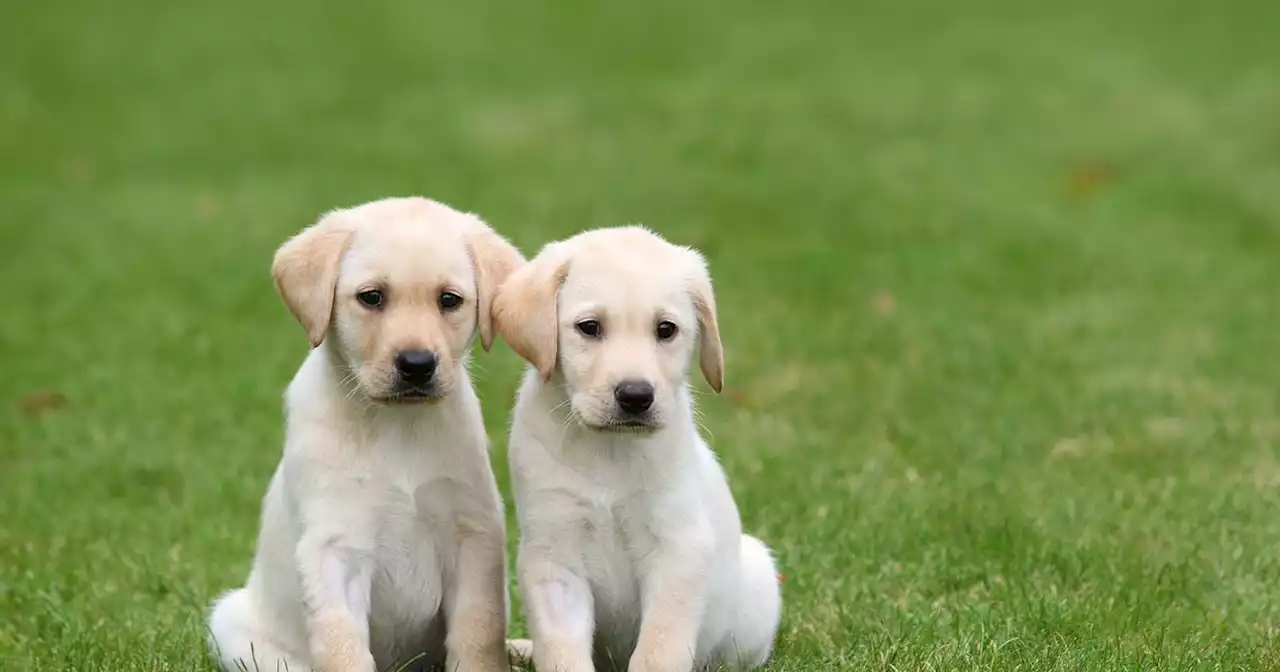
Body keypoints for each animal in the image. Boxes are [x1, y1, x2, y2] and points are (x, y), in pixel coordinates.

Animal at [207, 197, 522, 670]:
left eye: (449, 300)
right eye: (371, 297)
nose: (416, 364)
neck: (398, 427)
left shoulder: (473, 534)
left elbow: (478, 634)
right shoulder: (334, 547)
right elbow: (342, 645)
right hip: (234, 626)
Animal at [496, 227, 778, 665]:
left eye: (666, 329)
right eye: (589, 327)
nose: (635, 396)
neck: (609, 451)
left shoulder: (679, 549)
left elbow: (659, 648)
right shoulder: (553, 558)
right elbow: (562, 649)